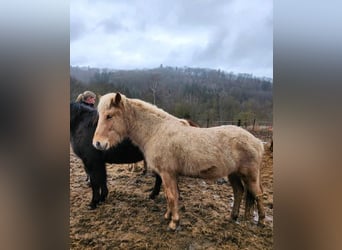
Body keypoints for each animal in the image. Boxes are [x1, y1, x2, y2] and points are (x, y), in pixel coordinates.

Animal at [92, 93, 266, 230]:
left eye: (109, 115)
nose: (98, 143)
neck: (156, 130)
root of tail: (257, 141)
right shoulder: (167, 175)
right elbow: (170, 195)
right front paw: (168, 216)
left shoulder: (167, 173)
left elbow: (171, 196)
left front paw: (174, 222)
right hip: (233, 174)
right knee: (239, 192)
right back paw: (233, 216)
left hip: (249, 175)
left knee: (258, 194)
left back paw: (262, 221)